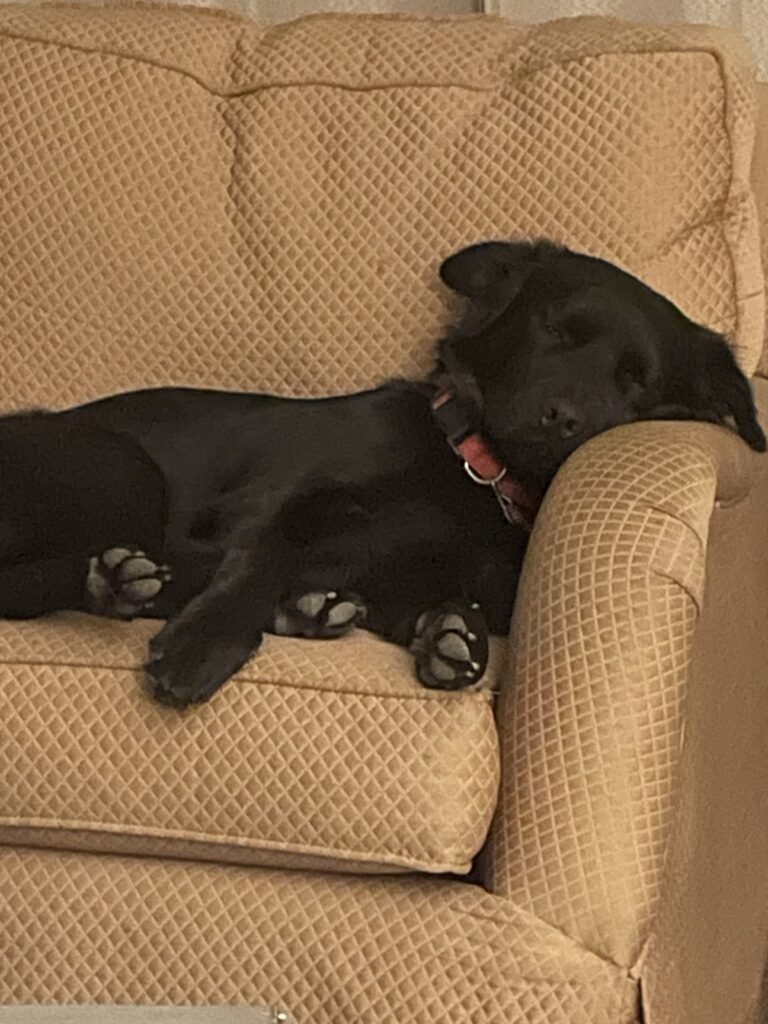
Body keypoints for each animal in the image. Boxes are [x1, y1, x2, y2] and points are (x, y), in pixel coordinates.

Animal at [0, 239, 762, 706]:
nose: (565, 418)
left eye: (637, 382)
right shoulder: (276, 506)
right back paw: (126, 585)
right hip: (124, 470)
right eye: (554, 328)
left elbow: (431, 601)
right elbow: (256, 565)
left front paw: (453, 635)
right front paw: (203, 645)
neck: (473, 472)